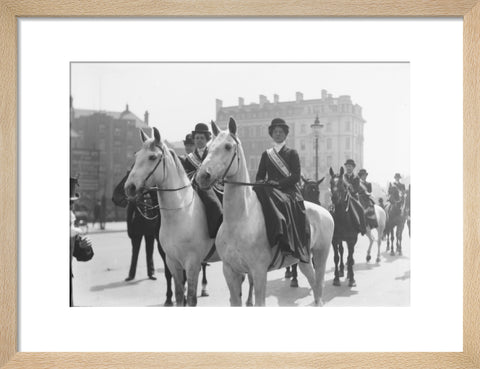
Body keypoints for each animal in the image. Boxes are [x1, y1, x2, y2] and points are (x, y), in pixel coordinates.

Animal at [124, 128, 220, 306]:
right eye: (136, 155)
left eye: (152, 157)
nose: (129, 187)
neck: (180, 213)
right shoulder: (172, 261)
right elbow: (180, 295)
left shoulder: (192, 263)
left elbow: (191, 298)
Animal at [195, 118, 334, 304]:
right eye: (208, 147)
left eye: (228, 146)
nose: (202, 176)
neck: (239, 221)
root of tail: (325, 211)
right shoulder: (230, 271)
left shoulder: (259, 271)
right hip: (303, 259)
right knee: (313, 282)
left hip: (320, 256)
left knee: (318, 288)